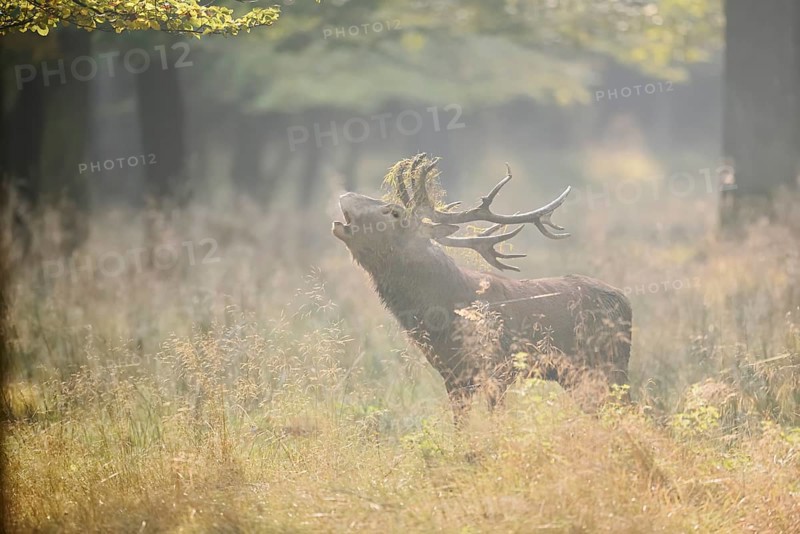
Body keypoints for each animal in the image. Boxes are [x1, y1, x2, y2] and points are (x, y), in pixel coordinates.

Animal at [332, 154, 632, 420]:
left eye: (394, 212)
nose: (345, 195)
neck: (442, 314)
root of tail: (626, 302)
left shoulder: (498, 370)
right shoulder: (453, 377)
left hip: (611, 364)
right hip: (576, 375)